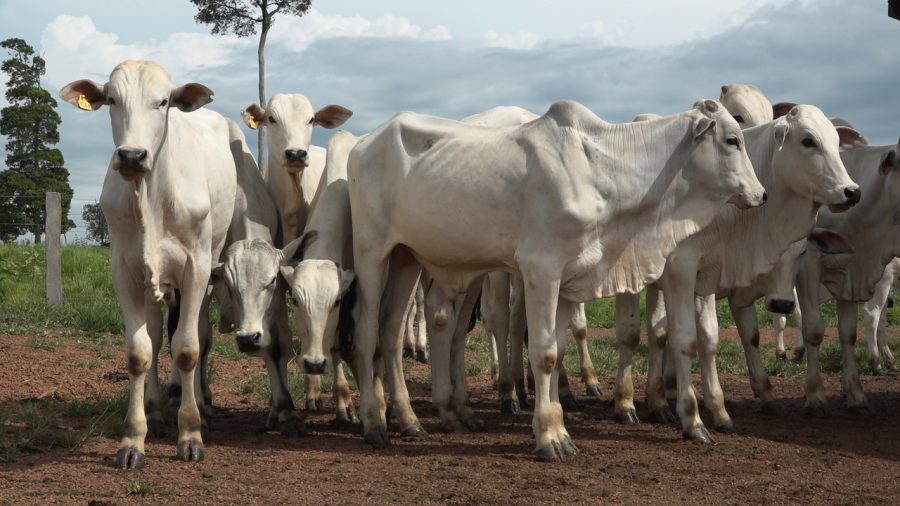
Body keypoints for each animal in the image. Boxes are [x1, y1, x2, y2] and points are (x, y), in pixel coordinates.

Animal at [59, 61, 239, 468]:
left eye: (163, 102)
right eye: (111, 99)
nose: (131, 155)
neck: (151, 197)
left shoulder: (196, 267)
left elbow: (187, 348)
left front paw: (190, 432)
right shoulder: (125, 270)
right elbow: (139, 351)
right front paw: (133, 437)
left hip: (207, 269)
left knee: (199, 335)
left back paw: (201, 402)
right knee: (157, 337)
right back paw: (156, 410)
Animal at [348, 98, 764, 458]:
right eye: (732, 139)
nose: (761, 194)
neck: (600, 169)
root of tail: (365, 141)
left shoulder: (568, 277)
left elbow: (559, 350)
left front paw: (559, 428)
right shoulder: (540, 269)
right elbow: (544, 353)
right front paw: (548, 436)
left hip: (406, 257)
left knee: (390, 331)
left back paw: (409, 418)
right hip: (372, 254)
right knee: (367, 331)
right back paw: (374, 423)